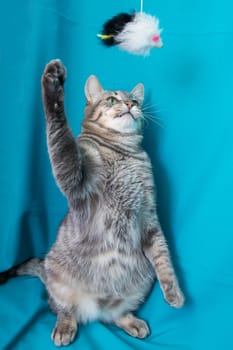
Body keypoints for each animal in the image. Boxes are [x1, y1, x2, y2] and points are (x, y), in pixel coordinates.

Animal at [0, 58, 185, 346]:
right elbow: (60, 135)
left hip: (141, 282)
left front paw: (173, 292)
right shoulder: (74, 176)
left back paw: (131, 321)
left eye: (135, 100)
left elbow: (163, 258)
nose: (130, 105)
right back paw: (65, 326)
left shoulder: (149, 216)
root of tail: (94, 308)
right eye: (111, 99)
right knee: (63, 309)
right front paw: (53, 85)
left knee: (113, 315)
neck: (123, 152)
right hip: (58, 284)